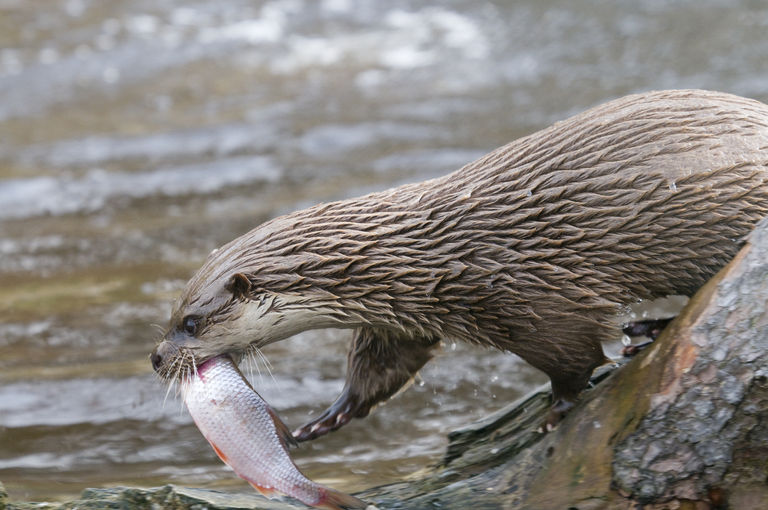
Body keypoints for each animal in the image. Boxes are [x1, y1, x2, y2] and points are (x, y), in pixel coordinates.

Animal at [150, 89, 768, 440]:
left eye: (191, 323)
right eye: (174, 312)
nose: (156, 358)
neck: (426, 260)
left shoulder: (535, 302)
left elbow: (574, 360)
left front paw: (559, 410)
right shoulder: (398, 319)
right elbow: (384, 366)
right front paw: (332, 416)